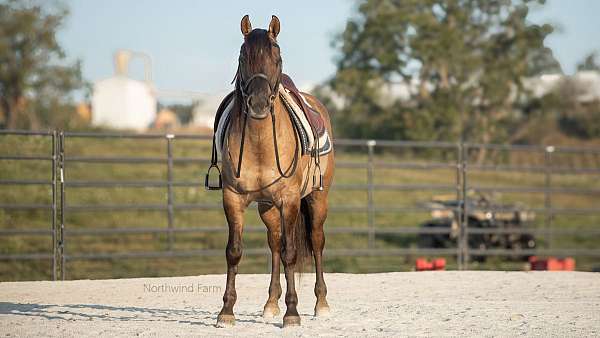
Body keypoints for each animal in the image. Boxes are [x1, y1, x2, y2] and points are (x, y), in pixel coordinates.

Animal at [207, 14, 336, 326]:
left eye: (277, 58)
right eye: (243, 57)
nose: (258, 103)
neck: (259, 144)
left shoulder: (289, 201)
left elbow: (292, 253)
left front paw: (293, 313)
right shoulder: (232, 199)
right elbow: (234, 251)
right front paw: (226, 311)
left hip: (317, 199)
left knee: (315, 241)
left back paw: (321, 304)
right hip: (267, 207)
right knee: (275, 242)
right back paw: (270, 303)